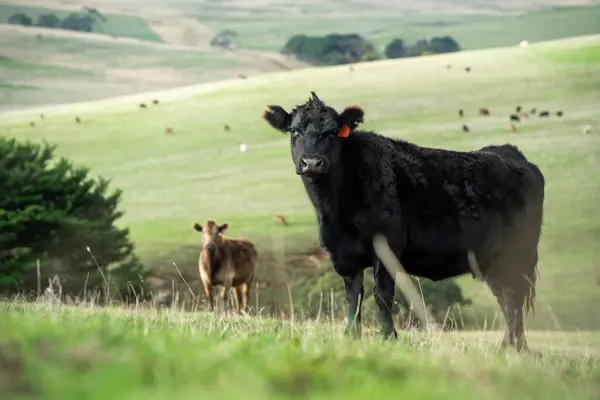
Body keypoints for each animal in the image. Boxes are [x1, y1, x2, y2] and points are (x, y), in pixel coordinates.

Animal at [262, 91, 544, 350]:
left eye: (332, 132)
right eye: (294, 131)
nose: (312, 162)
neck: (335, 207)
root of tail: (510, 152)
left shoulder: (386, 247)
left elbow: (382, 294)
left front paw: (388, 337)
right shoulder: (343, 254)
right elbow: (353, 296)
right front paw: (351, 335)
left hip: (518, 254)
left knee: (513, 297)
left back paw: (516, 347)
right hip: (493, 260)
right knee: (506, 298)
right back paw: (509, 346)